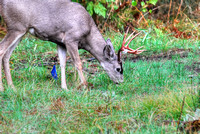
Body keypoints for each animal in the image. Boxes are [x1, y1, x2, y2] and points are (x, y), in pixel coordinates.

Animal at [0, 0, 144, 91]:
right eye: (119, 69)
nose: (120, 82)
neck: (88, 34)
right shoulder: (71, 38)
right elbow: (78, 63)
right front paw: (85, 85)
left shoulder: (60, 42)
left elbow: (62, 63)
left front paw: (65, 88)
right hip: (16, 26)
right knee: (2, 50)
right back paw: (2, 89)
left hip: (21, 31)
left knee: (7, 55)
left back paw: (12, 87)